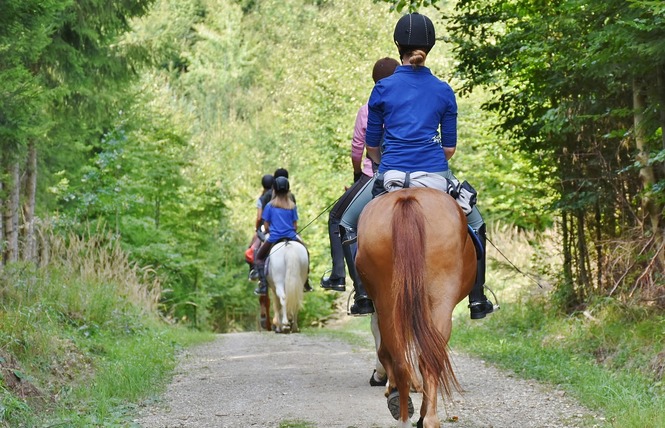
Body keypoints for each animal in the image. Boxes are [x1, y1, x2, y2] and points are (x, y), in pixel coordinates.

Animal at [356, 187, 474, 428]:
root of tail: (407, 198)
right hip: (437, 303)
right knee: (423, 359)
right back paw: (423, 417)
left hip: (391, 302)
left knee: (406, 359)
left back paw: (408, 413)